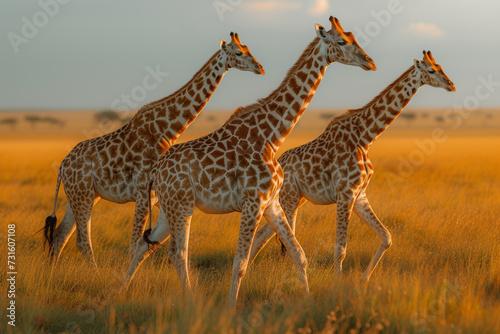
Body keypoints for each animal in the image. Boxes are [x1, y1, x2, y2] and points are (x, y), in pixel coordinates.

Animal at [43, 32, 264, 264]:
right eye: (238, 53)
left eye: (248, 49)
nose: (260, 68)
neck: (167, 128)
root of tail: (63, 164)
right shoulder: (142, 191)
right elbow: (134, 244)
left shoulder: (158, 193)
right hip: (83, 195)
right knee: (82, 242)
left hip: (80, 195)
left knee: (60, 235)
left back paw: (52, 271)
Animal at [121, 16, 376, 308]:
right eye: (342, 41)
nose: (370, 62)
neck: (272, 136)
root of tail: (156, 172)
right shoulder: (252, 202)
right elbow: (240, 263)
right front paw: (231, 308)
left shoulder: (272, 203)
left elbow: (299, 254)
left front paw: (308, 299)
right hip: (181, 205)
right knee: (178, 254)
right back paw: (191, 301)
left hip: (167, 208)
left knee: (145, 246)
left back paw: (120, 292)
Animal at [248, 51, 456, 284]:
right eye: (431, 70)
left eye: (440, 67)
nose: (451, 85)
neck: (366, 137)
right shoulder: (345, 193)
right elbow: (340, 248)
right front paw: (337, 284)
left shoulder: (360, 194)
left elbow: (386, 237)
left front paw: (364, 280)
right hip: (290, 199)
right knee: (284, 241)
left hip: (294, 200)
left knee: (262, 236)